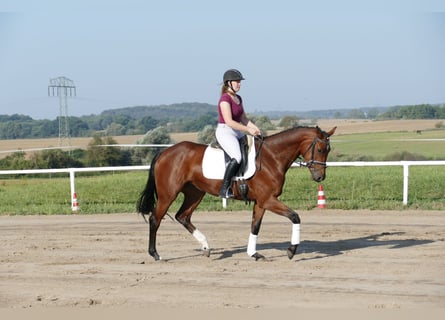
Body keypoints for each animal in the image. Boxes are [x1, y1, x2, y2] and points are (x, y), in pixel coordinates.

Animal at [137, 125, 334, 260]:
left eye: (328, 150)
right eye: (320, 149)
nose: (320, 177)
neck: (272, 157)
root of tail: (164, 152)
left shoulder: (261, 202)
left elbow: (255, 226)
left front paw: (254, 253)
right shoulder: (268, 200)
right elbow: (295, 217)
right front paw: (291, 251)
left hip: (195, 193)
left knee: (183, 216)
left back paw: (206, 247)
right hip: (168, 194)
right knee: (156, 219)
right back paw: (155, 254)